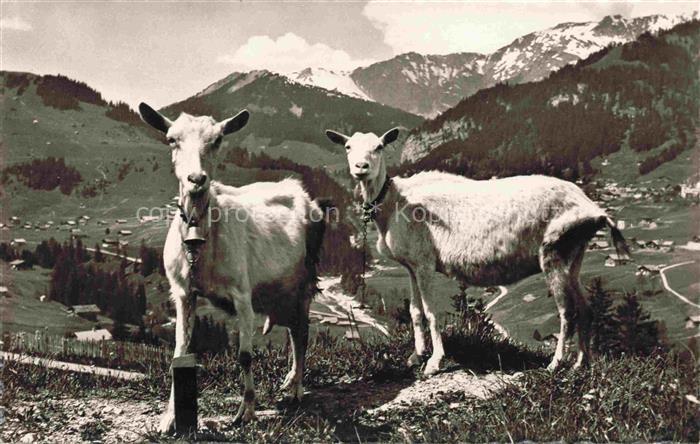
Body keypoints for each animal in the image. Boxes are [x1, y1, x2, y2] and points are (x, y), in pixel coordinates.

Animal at [139, 103, 328, 432]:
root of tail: (297, 189)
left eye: (217, 140)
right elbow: (180, 352)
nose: (196, 178)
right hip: (283, 288)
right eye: (172, 139)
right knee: (294, 328)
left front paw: (247, 411)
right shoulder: (183, 293)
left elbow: (245, 355)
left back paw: (297, 389)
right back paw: (290, 381)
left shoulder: (242, 294)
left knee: (302, 332)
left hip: (306, 279)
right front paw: (168, 418)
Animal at [326, 128, 629, 374]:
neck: (395, 202)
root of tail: (593, 209)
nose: (361, 167)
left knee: (568, 311)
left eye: (379, 146)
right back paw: (581, 363)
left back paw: (555, 364)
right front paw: (416, 356)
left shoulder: (424, 263)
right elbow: (414, 311)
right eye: (348, 147)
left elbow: (431, 311)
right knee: (586, 307)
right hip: (574, 254)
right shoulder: (411, 265)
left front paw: (434, 362)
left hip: (554, 251)